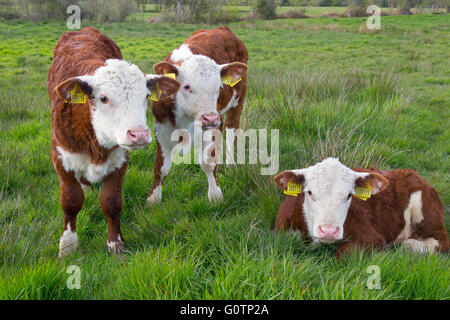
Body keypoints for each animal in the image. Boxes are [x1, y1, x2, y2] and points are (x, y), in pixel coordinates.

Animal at [48, 28, 179, 258]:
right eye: (103, 98)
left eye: (146, 97)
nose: (139, 134)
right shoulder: (61, 158)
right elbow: (71, 201)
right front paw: (68, 245)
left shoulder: (120, 159)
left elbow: (112, 202)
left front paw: (115, 244)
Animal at [147, 26, 248, 202]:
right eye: (186, 86)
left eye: (218, 87)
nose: (210, 117)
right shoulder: (162, 129)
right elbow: (161, 167)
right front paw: (154, 199)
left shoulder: (209, 128)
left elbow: (208, 163)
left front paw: (215, 196)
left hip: (237, 100)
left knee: (231, 130)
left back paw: (231, 164)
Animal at [272, 157, 448, 258]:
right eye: (310, 192)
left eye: (349, 195)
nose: (329, 230)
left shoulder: (372, 237)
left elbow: (344, 254)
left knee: (439, 241)